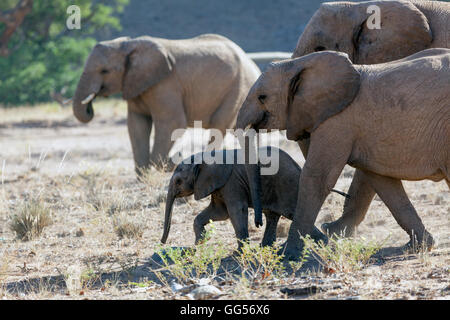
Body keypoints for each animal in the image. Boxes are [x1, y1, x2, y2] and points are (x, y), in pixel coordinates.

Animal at [71, 34, 260, 172]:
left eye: (105, 71)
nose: (90, 106)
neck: (128, 45)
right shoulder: (135, 84)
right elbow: (136, 125)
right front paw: (144, 176)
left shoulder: (165, 84)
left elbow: (172, 122)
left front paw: (170, 162)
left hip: (238, 90)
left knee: (218, 126)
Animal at [160, 148, 346, 250]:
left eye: (178, 181)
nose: (162, 243)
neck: (205, 156)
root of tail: (299, 167)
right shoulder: (220, 185)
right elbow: (219, 212)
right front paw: (200, 242)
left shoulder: (232, 182)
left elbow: (235, 211)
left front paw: (239, 252)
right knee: (272, 215)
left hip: (287, 185)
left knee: (293, 214)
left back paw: (323, 244)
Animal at [236, 49, 450, 260]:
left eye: (262, 97)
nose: (258, 223)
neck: (298, 63)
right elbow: (382, 181)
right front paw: (419, 246)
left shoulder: (335, 122)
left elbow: (316, 178)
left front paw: (287, 255)